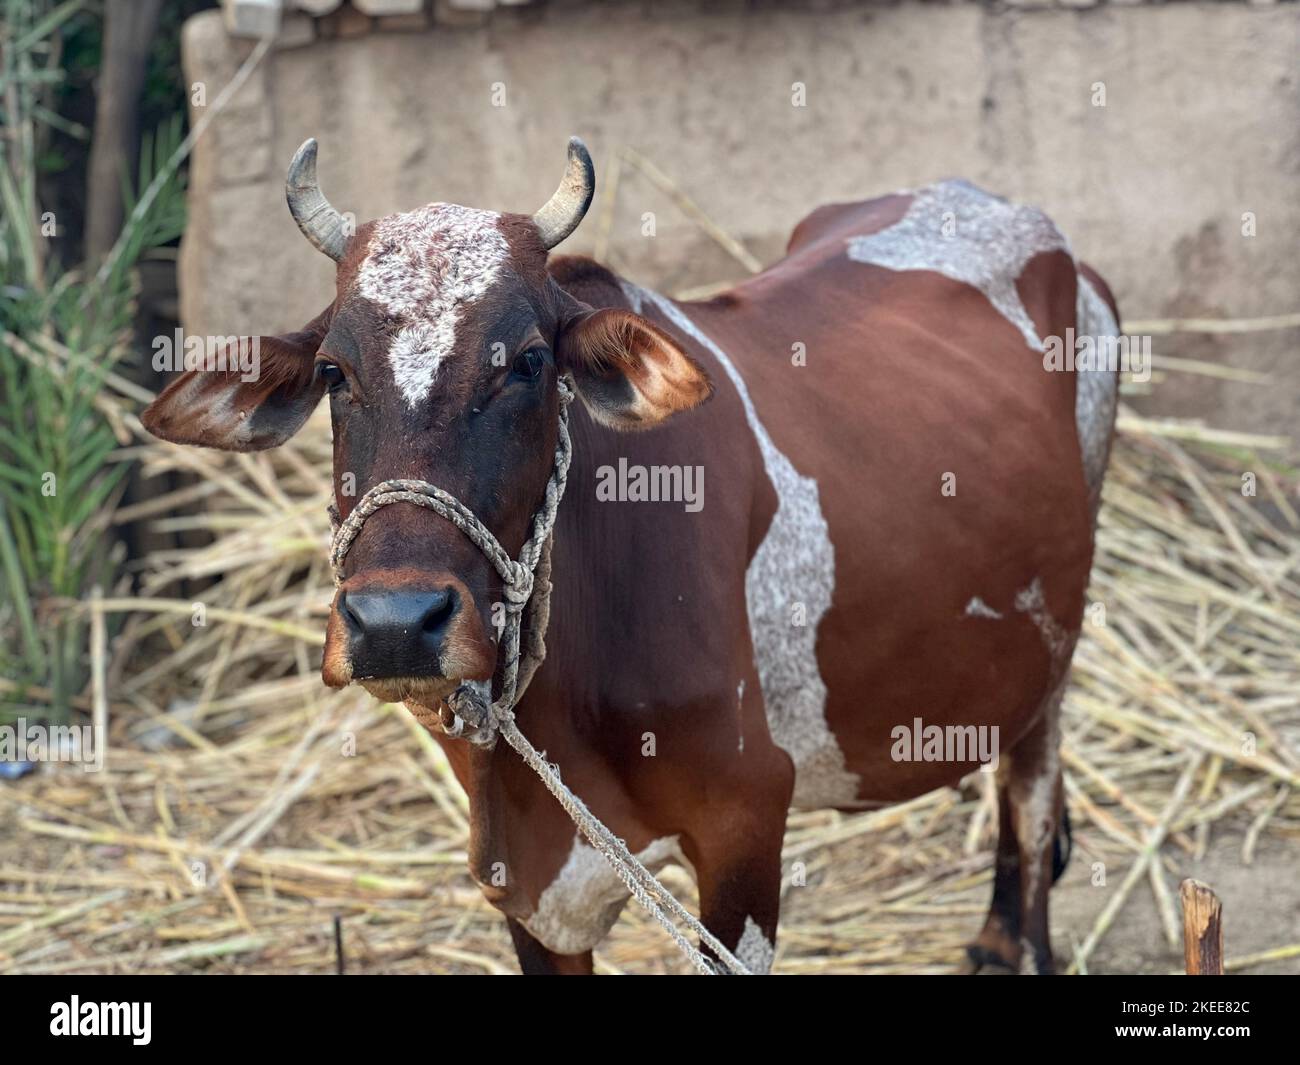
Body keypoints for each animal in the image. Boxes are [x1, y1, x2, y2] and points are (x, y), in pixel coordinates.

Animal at [143, 137, 1121, 975]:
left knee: (1032, 795)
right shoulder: (528, 885)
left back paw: (1010, 941)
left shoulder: (744, 824)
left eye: (527, 362)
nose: (394, 623)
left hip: (1054, 653)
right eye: (335, 373)